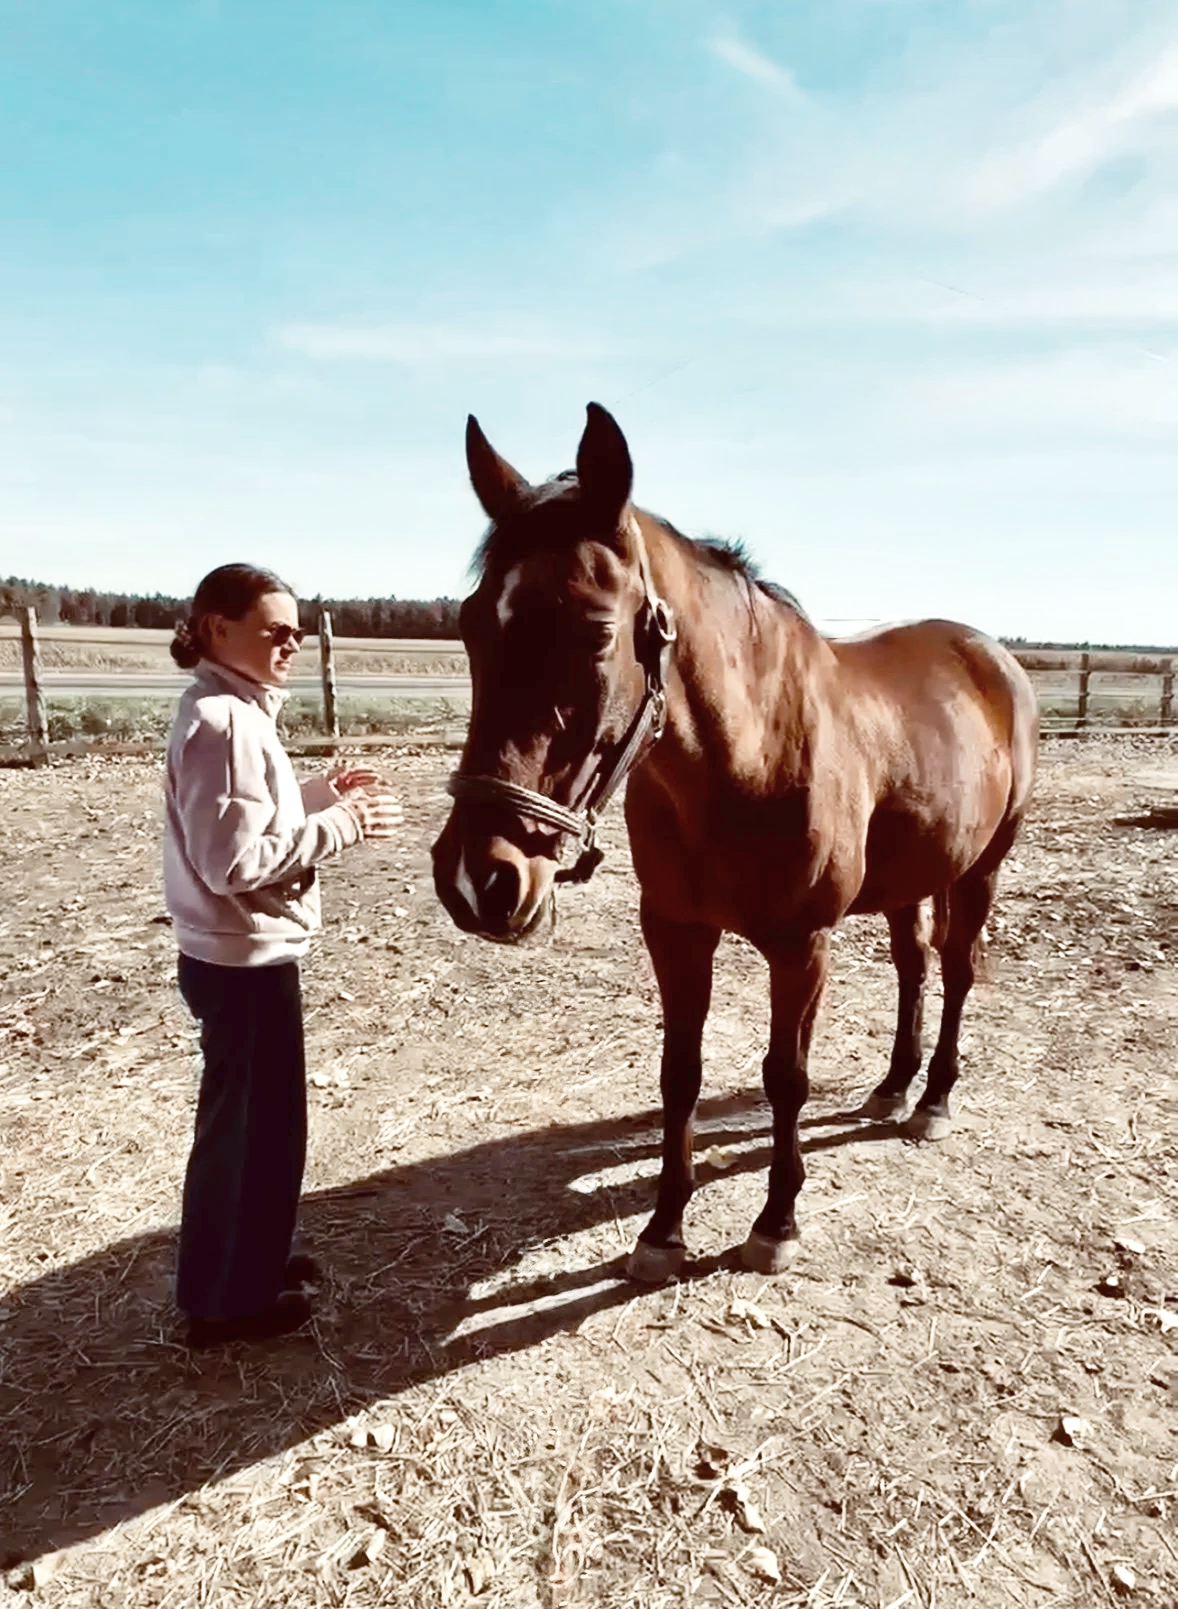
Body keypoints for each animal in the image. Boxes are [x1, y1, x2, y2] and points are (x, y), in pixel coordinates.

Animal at [432, 403, 1038, 1283]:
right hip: (911, 878)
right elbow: (679, 1075)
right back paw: (893, 1086)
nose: (479, 878)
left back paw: (931, 1100)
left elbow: (785, 1076)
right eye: (472, 626)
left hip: (981, 869)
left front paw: (776, 1223)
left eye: (594, 632)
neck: (747, 757)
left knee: (954, 972)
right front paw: (662, 1230)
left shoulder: (801, 945)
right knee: (914, 969)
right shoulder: (676, 932)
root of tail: (993, 657)